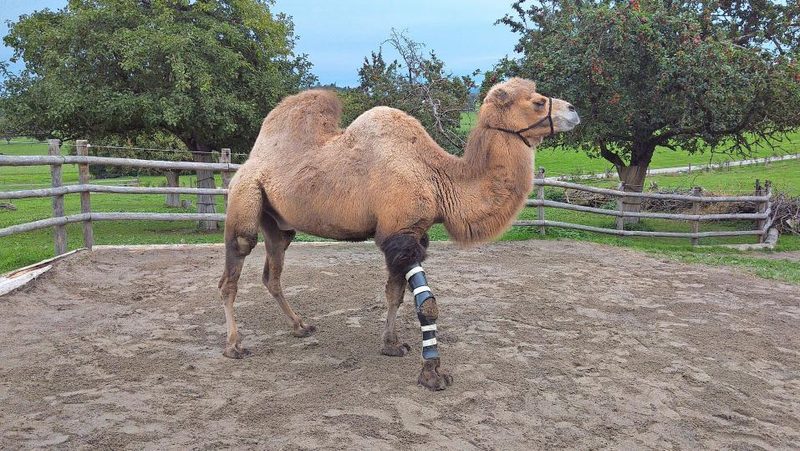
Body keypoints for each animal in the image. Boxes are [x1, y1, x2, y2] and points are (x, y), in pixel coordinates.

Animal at [218, 77, 580, 390]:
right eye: (537, 102)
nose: (574, 110)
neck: (437, 176)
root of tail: (250, 161)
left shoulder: (412, 234)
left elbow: (395, 293)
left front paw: (391, 345)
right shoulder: (401, 234)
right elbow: (427, 304)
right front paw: (432, 373)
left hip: (279, 224)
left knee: (272, 274)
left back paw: (301, 327)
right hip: (245, 199)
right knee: (232, 272)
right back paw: (234, 346)